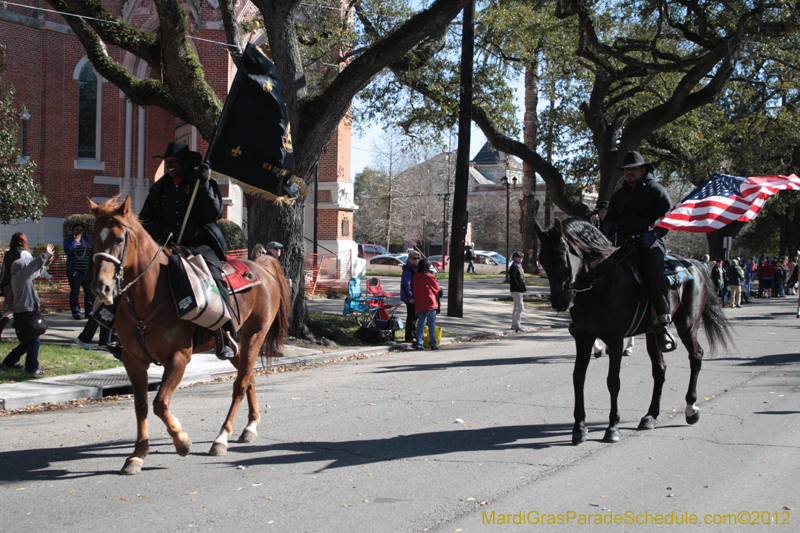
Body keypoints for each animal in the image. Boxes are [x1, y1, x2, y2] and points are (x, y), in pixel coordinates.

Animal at [89, 195, 290, 474]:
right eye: (94, 238)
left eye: (119, 239)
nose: (101, 287)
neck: (150, 294)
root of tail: (261, 268)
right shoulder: (133, 359)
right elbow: (141, 405)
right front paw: (137, 454)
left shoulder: (179, 357)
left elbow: (160, 403)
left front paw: (182, 441)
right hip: (233, 346)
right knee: (248, 377)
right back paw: (250, 426)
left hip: (254, 336)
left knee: (240, 384)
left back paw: (222, 438)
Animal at [536, 216, 732, 444]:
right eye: (543, 261)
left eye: (561, 258)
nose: (560, 302)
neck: (598, 282)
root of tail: (694, 264)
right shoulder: (584, 337)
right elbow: (578, 377)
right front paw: (579, 428)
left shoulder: (615, 338)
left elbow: (613, 381)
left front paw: (612, 428)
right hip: (653, 333)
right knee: (660, 370)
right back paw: (650, 416)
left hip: (687, 324)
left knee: (696, 356)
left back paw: (691, 409)